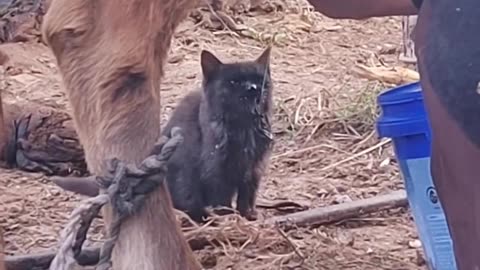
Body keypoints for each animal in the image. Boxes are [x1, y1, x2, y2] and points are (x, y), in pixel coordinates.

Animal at [162, 48, 272, 221]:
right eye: (233, 82)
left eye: (258, 79)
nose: (253, 87)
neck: (245, 128)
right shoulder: (216, 170)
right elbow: (221, 198)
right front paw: (227, 216)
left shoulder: (254, 167)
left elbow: (247, 194)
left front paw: (247, 214)